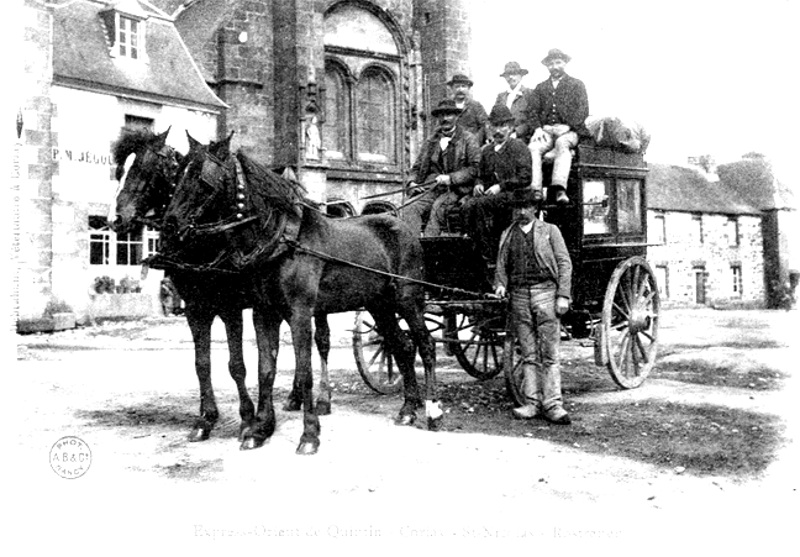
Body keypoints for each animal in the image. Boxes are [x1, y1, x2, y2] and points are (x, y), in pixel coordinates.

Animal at [108, 127, 332, 444]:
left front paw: (247, 418)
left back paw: (322, 399)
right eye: (120, 171)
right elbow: (202, 364)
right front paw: (206, 419)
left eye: (143, 169)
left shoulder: (230, 307)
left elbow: (236, 365)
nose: (115, 219)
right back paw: (294, 397)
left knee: (321, 343)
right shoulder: (195, 308)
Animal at [162, 137, 438, 454]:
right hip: (378, 305)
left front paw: (309, 435)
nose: (170, 225)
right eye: (177, 177)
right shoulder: (263, 313)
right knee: (402, 346)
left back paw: (433, 410)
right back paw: (408, 409)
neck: (281, 240)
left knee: (426, 345)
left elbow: (304, 371)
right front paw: (259, 430)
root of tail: (406, 229)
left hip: (407, 300)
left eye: (203, 181)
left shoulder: (299, 313)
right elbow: (265, 368)